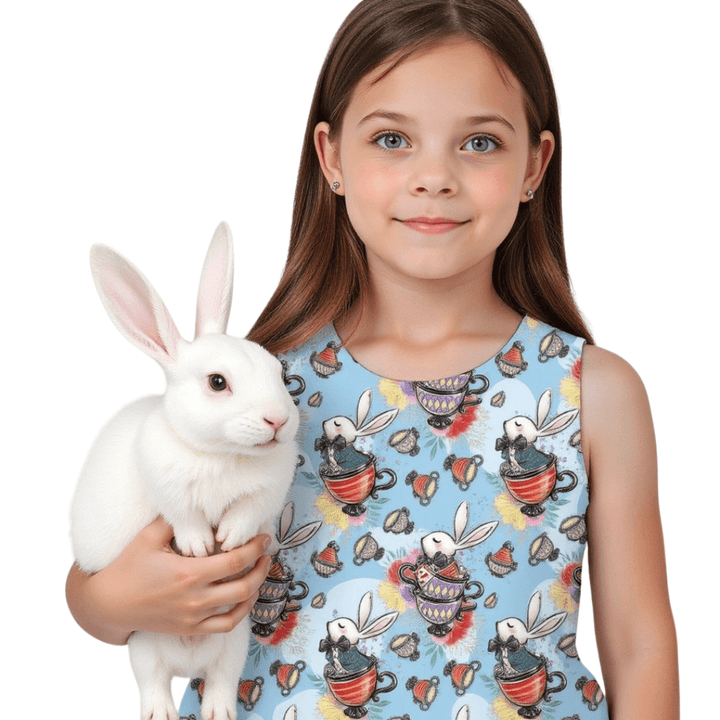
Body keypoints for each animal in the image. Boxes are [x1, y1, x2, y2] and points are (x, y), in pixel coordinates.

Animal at [69, 222, 300, 720]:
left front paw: (228, 538)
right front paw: (199, 547)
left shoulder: (267, 493)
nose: (279, 421)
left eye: (278, 371)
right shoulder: (166, 488)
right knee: (154, 683)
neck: (221, 453)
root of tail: (187, 661)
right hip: (143, 645)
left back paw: (219, 712)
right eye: (217, 382)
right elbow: (185, 516)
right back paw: (161, 712)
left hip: (234, 645)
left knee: (220, 682)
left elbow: (245, 512)